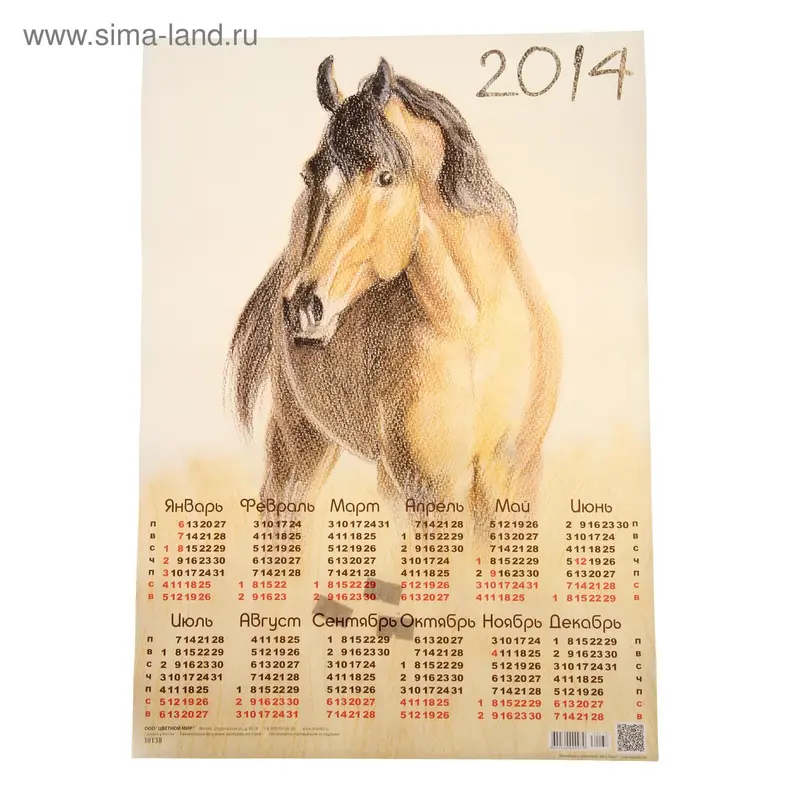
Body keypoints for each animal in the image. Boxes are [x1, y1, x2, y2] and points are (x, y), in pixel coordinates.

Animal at [228, 56, 561, 529]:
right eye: (309, 174)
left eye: (385, 177)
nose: (303, 306)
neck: (472, 327)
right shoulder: (428, 488)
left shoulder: (515, 476)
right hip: (299, 445)